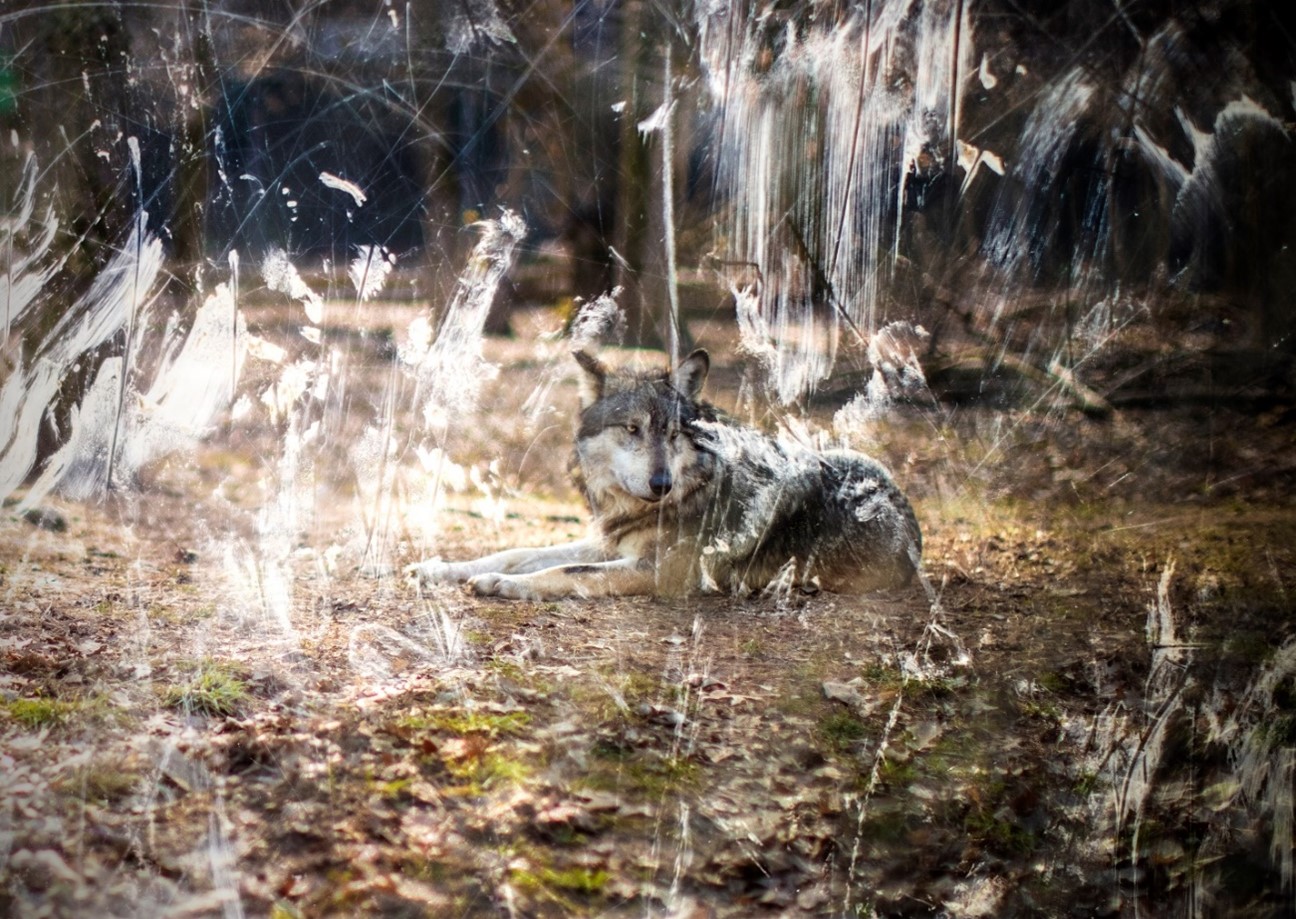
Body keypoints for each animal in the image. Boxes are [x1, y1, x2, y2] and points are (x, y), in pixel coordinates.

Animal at [407, 349, 922, 600]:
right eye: (632, 429)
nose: (661, 484)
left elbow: (565, 569)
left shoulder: (661, 572)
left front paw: (505, 586)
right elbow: (518, 552)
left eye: (673, 433)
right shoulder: (610, 544)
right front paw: (439, 569)